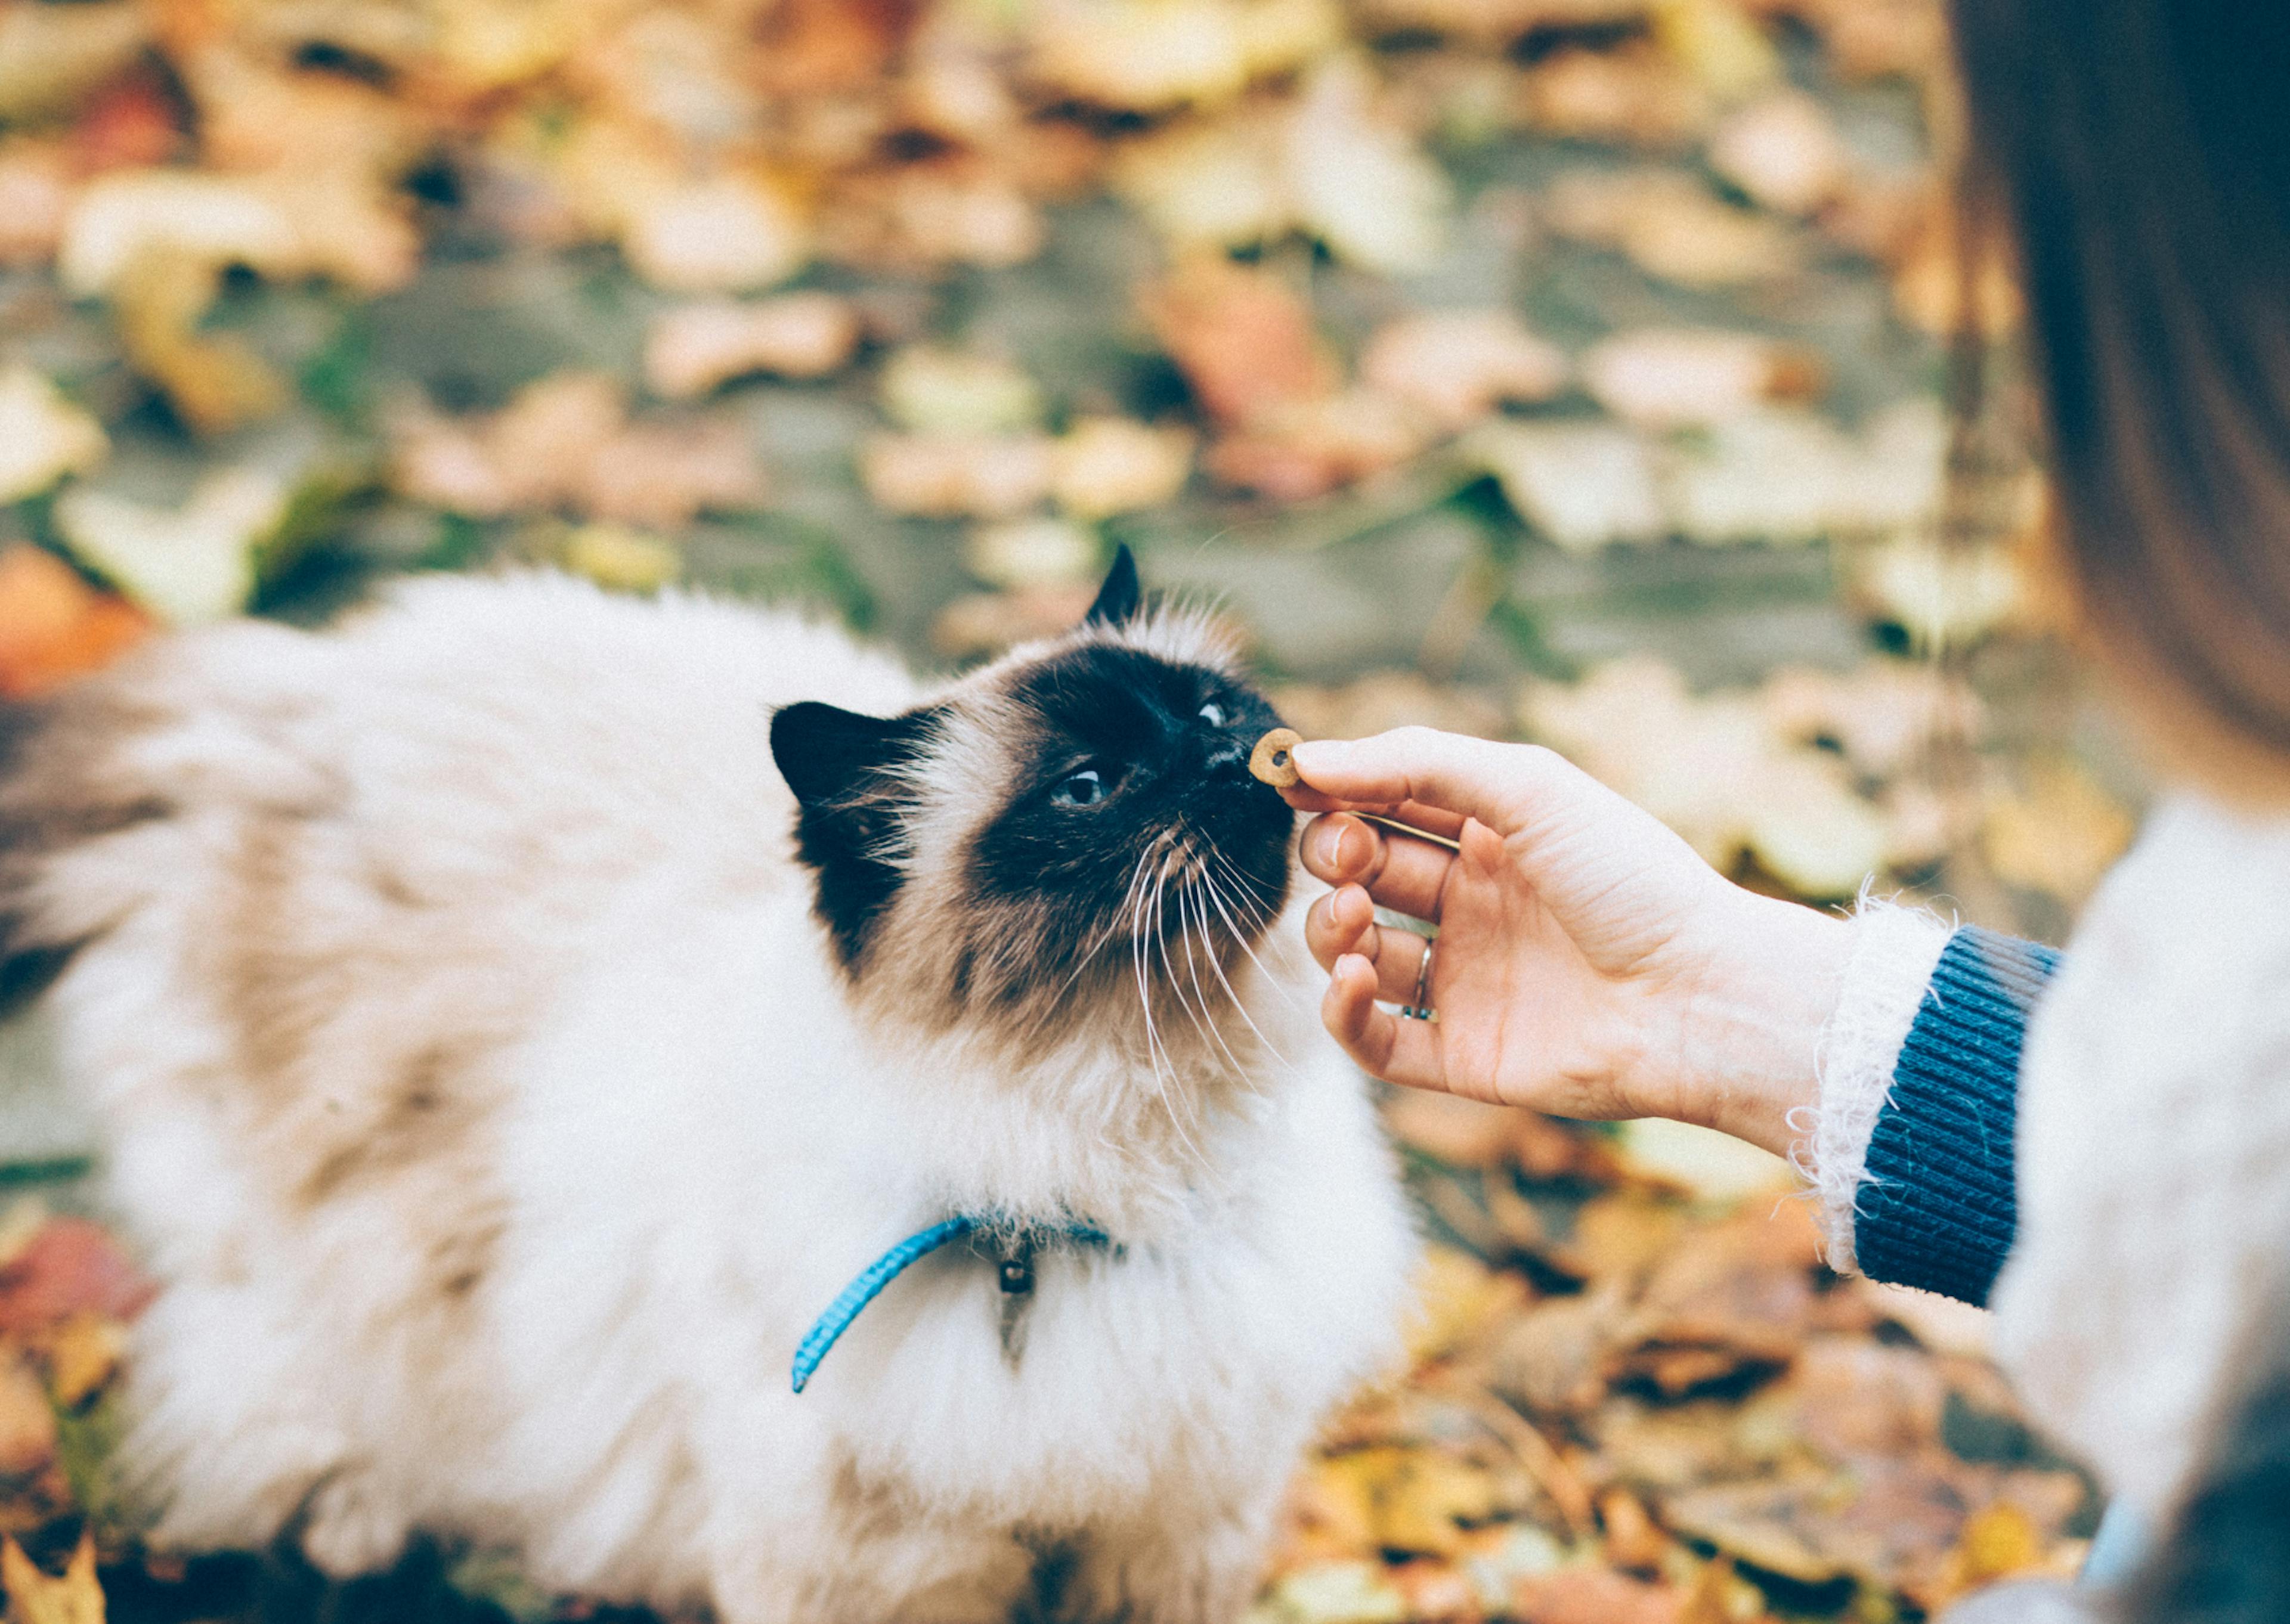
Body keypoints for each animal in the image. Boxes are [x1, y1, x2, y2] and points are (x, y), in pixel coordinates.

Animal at [0, 551, 1410, 1622]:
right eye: (1088, 790)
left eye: (1214, 716)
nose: (1236, 760)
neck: (1106, 1175)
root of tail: (287, 691)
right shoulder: (880, 1574)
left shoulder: (1172, 1536)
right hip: (323, 1257)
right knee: (270, 1381)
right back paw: (357, 1515)